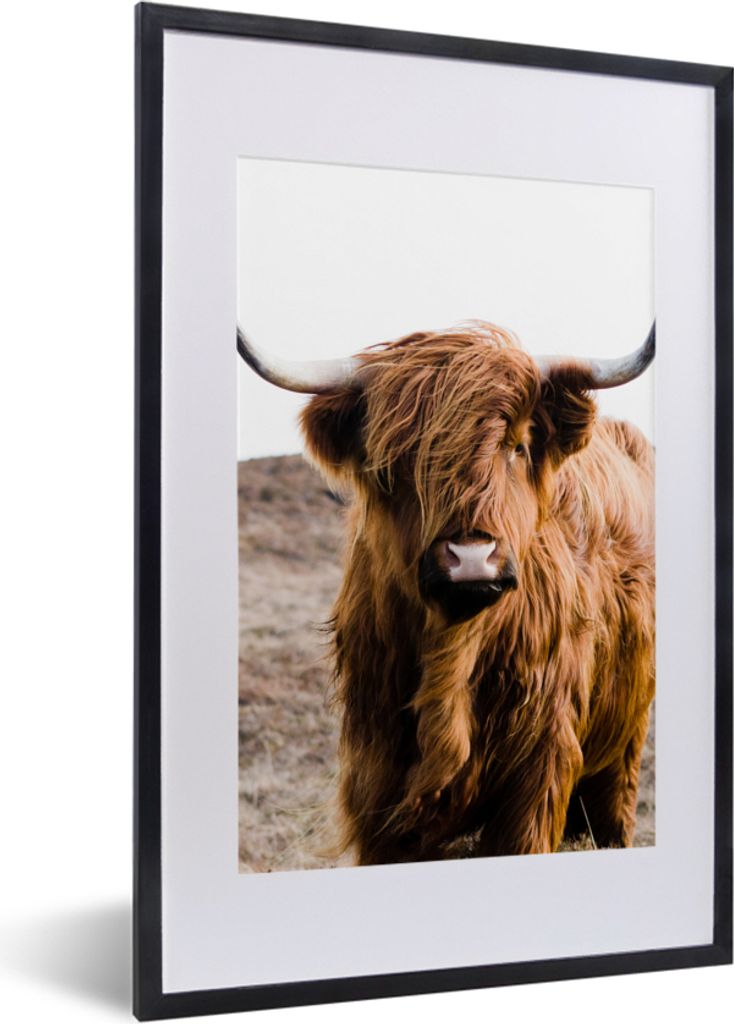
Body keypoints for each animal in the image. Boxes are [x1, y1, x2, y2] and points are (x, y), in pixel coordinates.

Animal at [237, 320, 655, 864]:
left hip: (624, 747)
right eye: (395, 462)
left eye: (517, 446)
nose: (470, 557)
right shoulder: (377, 778)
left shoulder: (538, 773)